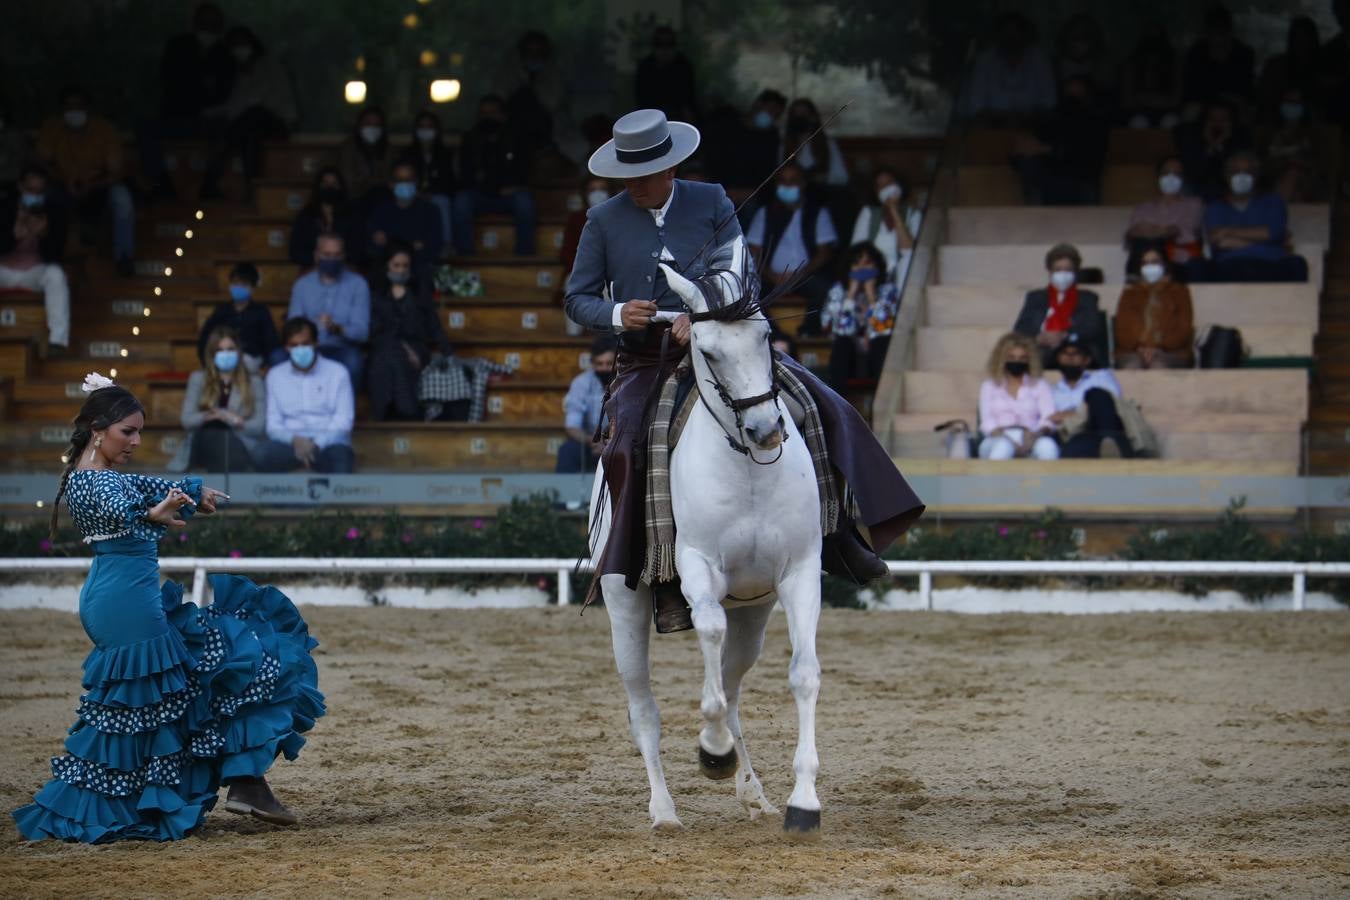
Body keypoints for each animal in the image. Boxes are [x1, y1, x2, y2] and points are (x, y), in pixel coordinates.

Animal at [588, 253, 826, 836]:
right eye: (708, 350)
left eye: (764, 336)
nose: (766, 430)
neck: (748, 469)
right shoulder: (698, 568)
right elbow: (709, 638)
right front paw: (712, 751)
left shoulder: (800, 573)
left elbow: (803, 675)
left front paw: (803, 801)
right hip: (624, 607)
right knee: (646, 708)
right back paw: (664, 809)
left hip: (754, 611)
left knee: (734, 685)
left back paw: (754, 791)